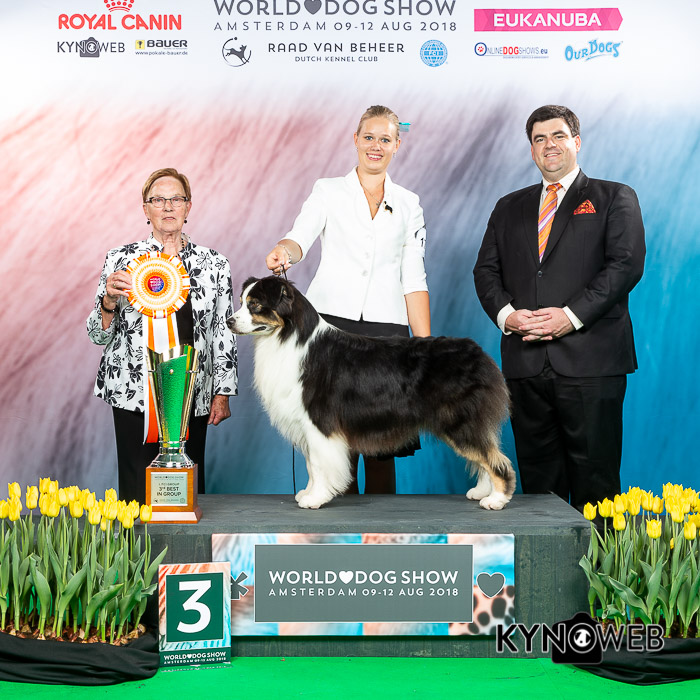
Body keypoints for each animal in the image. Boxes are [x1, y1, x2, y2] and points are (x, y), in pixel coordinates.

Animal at [227, 276, 515, 510]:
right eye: (241, 301)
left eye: (255, 305)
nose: (229, 320)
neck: (288, 337)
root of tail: (478, 353)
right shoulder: (306, 423)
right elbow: (311, 464)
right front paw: (307, 493)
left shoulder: (319, 421)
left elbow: (319, 463)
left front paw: (315, 498)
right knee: (485, 454)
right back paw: (482, 492)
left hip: (460, 420)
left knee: (495, 459)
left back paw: (497, 499)